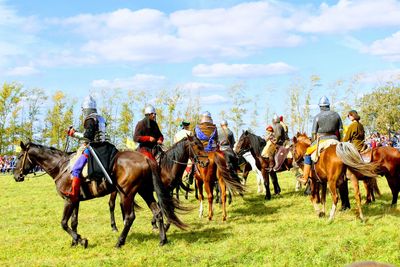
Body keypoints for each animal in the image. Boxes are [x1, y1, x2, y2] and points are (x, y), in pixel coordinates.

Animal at [12, 141, 186, 248]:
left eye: (19, 156)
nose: (16, 176)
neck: (61, 167)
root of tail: (145, 158)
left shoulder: (69, 200)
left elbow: (63, 223)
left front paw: (81, 240)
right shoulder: (75, 201)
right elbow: (73, 222)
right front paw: (75, 241)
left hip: (127, 194)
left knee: (130, 217)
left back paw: (119, 242)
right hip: (144, 191)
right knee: (158, 212)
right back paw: (163, 240)